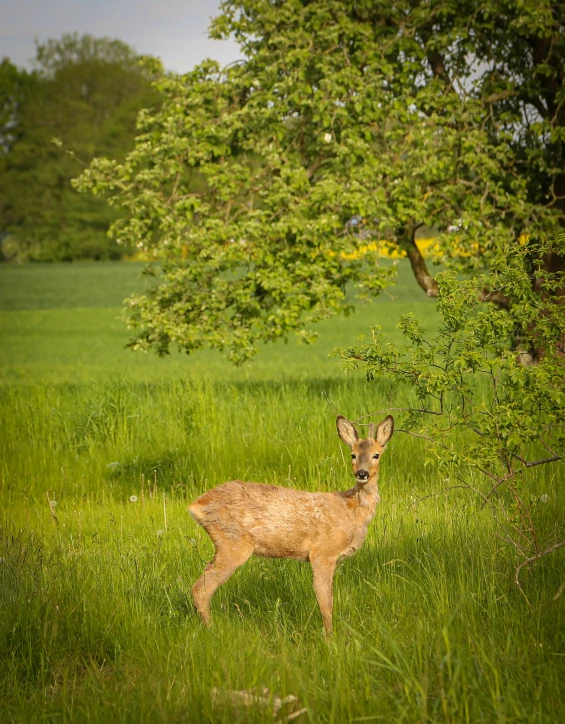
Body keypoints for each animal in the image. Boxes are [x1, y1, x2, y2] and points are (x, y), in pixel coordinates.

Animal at [188, 412, 392, 632]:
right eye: (352, 455)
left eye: (376, 455)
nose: (362, 473)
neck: (351, 510)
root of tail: (197, 505)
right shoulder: (322, 553)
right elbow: (326, 603)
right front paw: (329, 637)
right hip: (232, 543)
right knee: (200, 589)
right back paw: (212, 629)